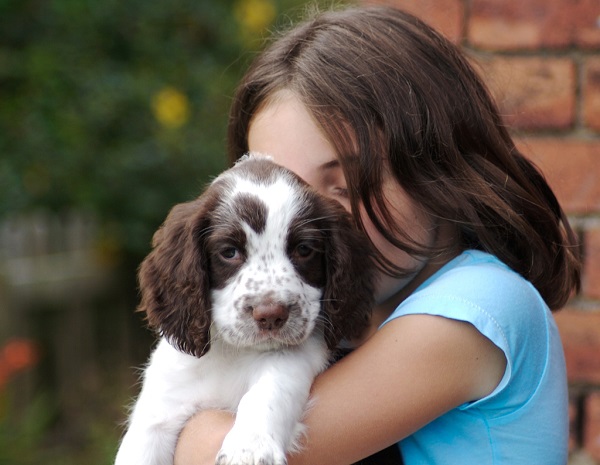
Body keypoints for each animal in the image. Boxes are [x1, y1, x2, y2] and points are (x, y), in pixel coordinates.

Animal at [114, 153, 372, 464]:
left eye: (304, 249)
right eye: (229, 252)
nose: (271, 315)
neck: (232, 353)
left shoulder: (297, 356)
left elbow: (270, 387)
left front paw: (251, 446)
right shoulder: (160, 407)